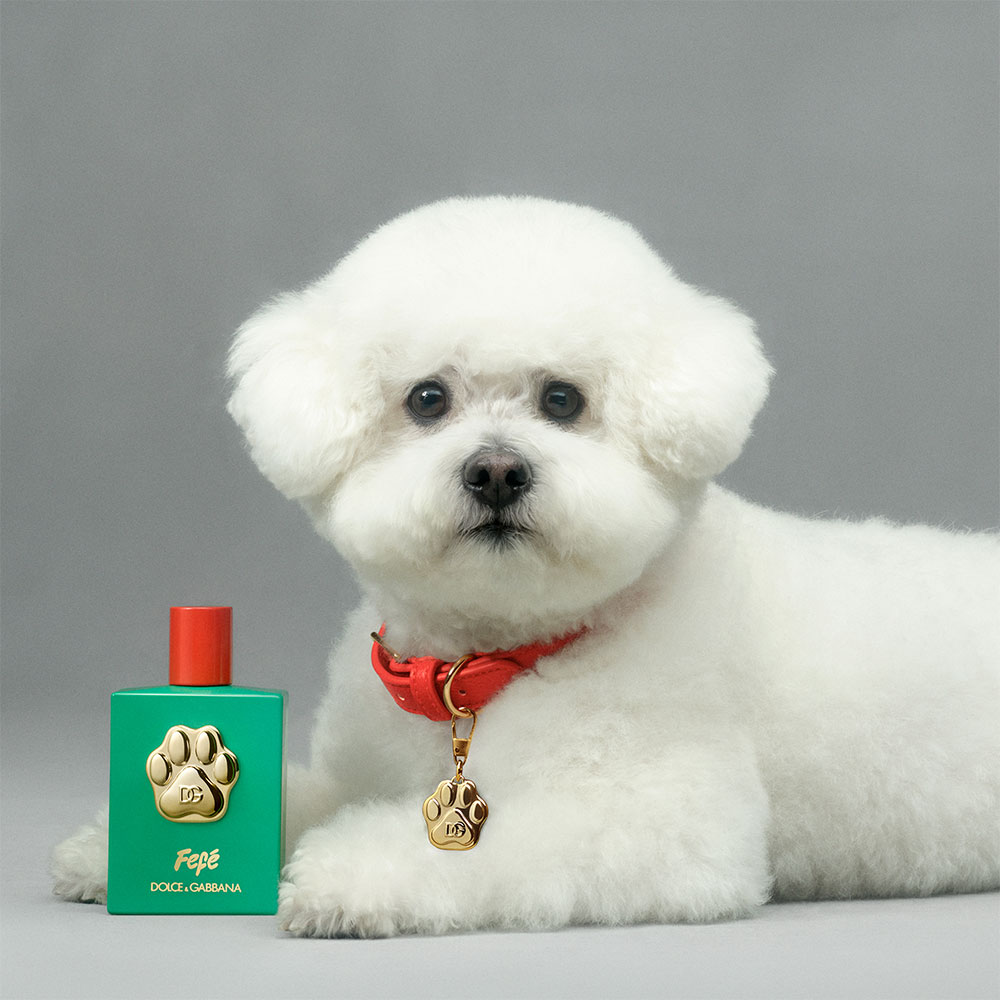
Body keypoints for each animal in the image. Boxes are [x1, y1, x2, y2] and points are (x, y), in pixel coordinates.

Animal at [54, 196, 999, 936]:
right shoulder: (360, 769)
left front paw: (347, 876)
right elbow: (295, 796)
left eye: (563, 400)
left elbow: (474, 849)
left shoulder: (665, 823)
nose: (498, 471)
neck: (481, 666)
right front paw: (120, 841)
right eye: (427, 399)